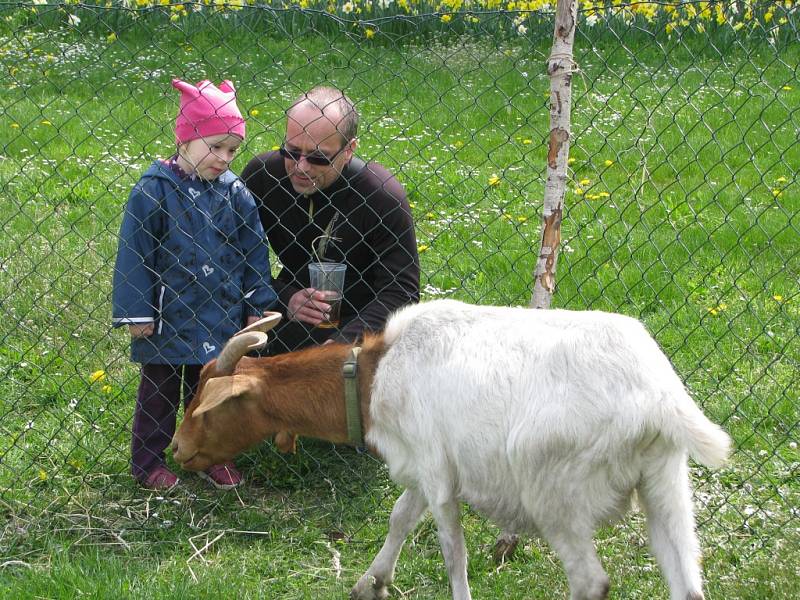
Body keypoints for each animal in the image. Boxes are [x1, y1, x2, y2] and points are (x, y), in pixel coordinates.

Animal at [173, 300, 732, 600]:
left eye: (205, 404)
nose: (177, 449)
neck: (373, 376)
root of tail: (658, 400)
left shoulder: (440, 475)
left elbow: (452, 553)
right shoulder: (420, 468)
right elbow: (400, 518)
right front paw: (369, 581)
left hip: (556, 493)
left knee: (590, 581)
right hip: (665, 484)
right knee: (687, 582)